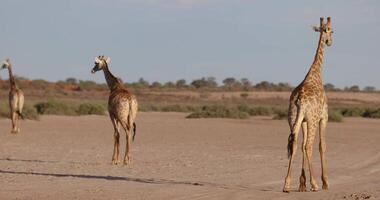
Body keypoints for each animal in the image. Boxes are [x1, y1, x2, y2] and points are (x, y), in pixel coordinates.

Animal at [282, 16, 332, 192]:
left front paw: (302, 183)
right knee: (309, 146)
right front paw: (325, 182)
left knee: (295, 144)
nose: (330, 42)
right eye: (332, 31)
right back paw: (316, 184)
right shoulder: (323, 117)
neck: (316, 73)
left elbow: (301, 144)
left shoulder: (302, 120)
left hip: (292, 118)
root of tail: (299, 99)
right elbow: (322, 145)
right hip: (312, 120)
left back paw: (286, 185)